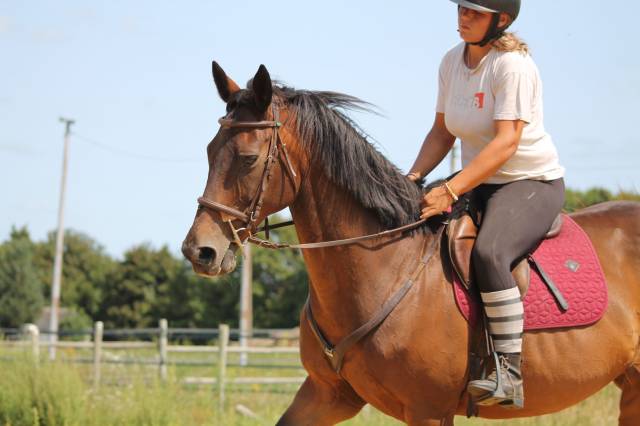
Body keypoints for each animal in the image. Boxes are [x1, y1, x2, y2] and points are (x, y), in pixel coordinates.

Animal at [181, 62, 640, 425]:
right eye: (208, 151)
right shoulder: (326, 394)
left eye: (248, 159)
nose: (199, 251)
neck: (386, 265)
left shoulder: (428, 410)